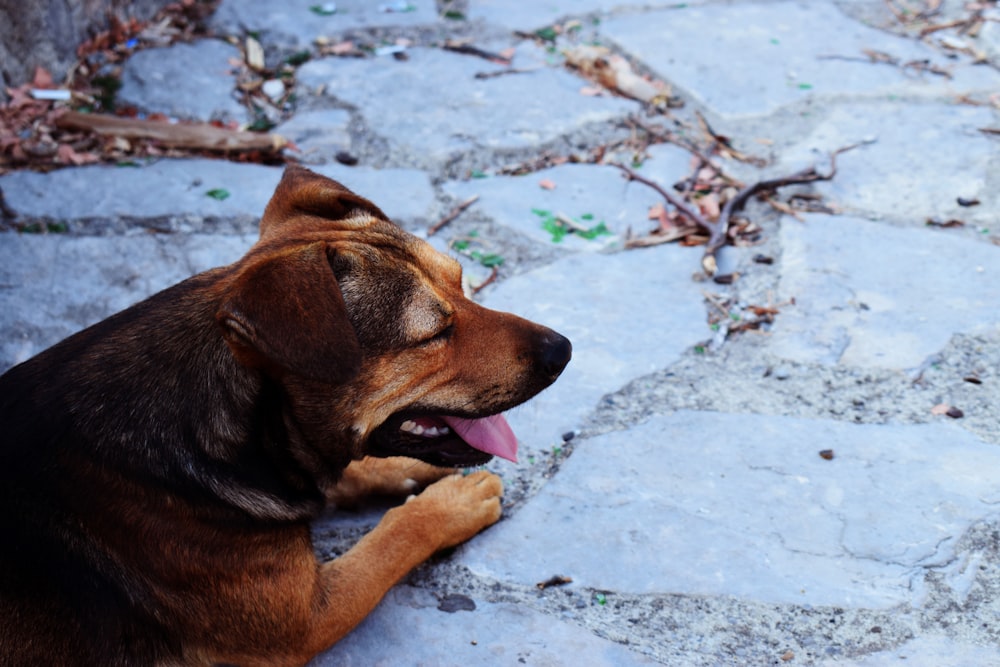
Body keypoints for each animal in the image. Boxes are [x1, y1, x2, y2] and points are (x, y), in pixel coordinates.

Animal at [0, 164, 572, 664]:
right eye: (434, 333)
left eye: (460, 280)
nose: (564, 350)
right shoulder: (306, 620)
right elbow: (392, 537)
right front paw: (451, 503)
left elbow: (350, 472)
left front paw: (411, 472)